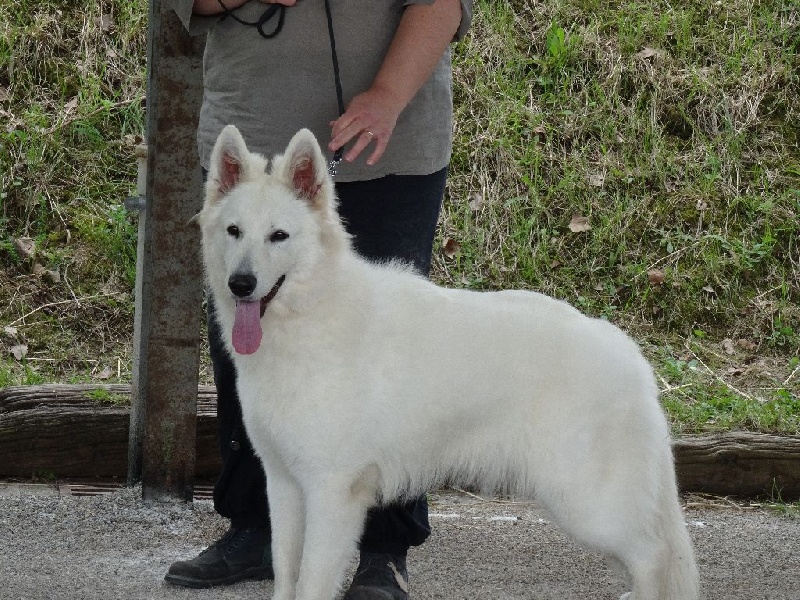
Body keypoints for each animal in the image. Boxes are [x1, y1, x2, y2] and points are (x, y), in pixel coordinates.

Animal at [197, 124, 700, 600]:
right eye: (234, 231)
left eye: (279, 236)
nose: (241, 284)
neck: (313, 313)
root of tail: (629, 353)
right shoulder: (283, 485)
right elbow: (286, 573)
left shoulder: (332, 491)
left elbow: (310, 582)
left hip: (585, 502)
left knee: (654, 553)